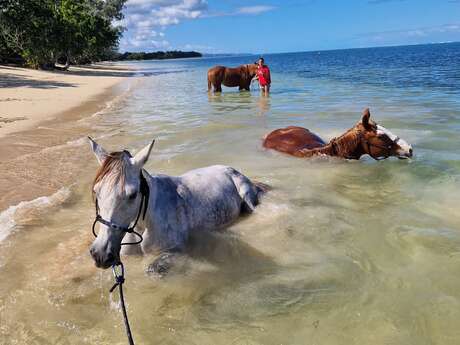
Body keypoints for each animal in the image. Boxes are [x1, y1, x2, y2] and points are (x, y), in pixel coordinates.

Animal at [88, 137, 266, 272]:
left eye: (132, 195)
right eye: (96, 191)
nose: (100, 254)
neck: (145, 223)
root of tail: (231, 169)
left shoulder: (175, 251)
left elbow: (153, 270)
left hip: (247, 197)